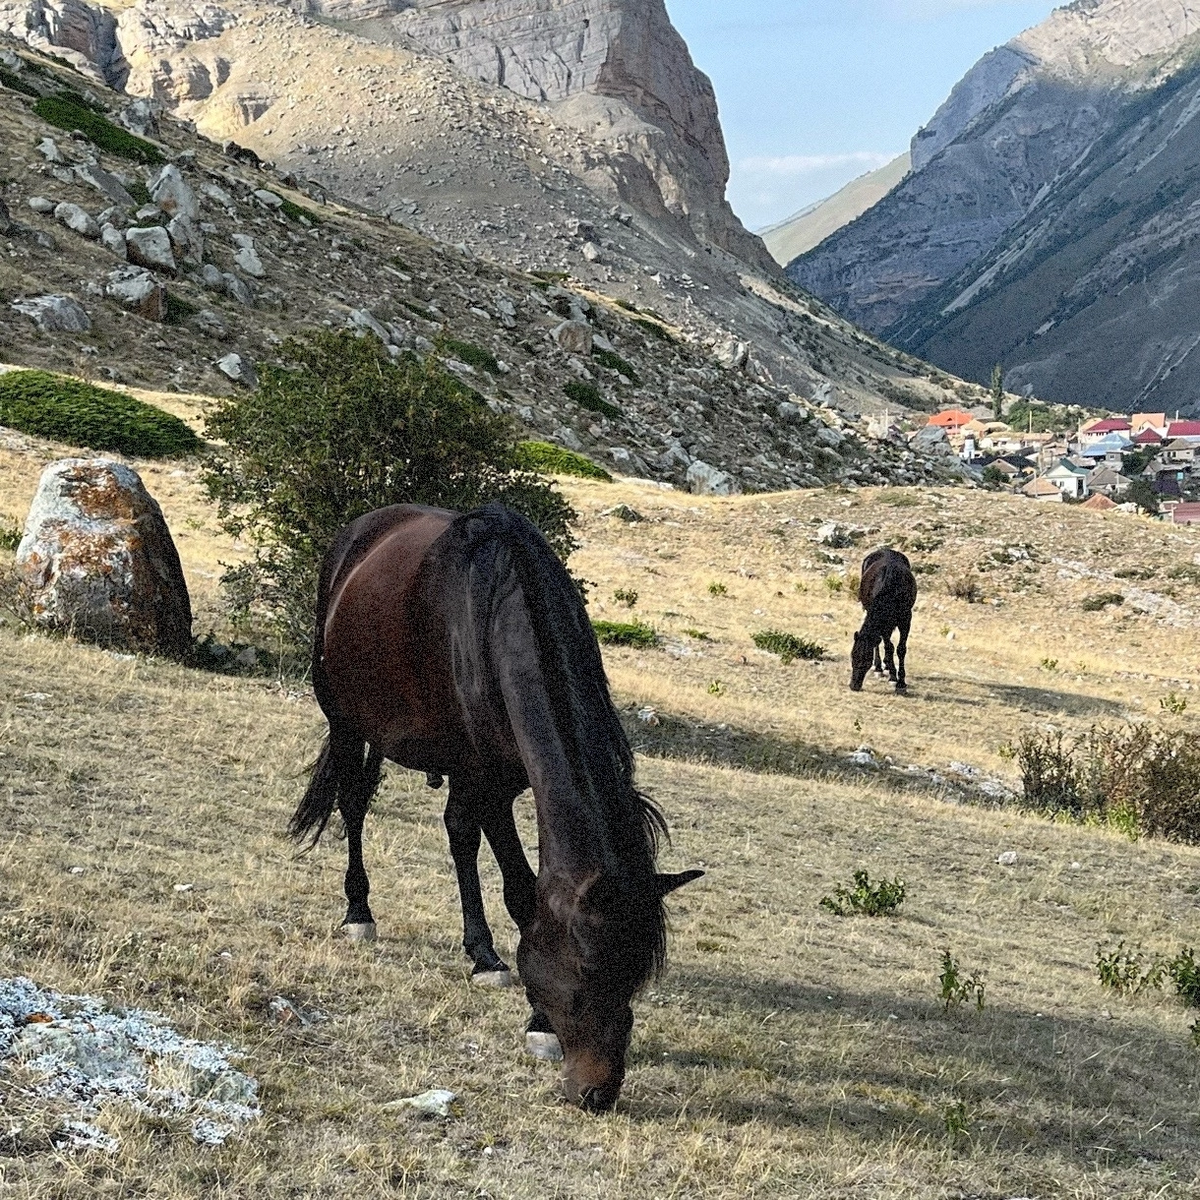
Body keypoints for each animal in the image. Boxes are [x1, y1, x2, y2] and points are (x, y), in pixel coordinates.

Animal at [292, 501, 700, 1108]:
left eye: (636, 975)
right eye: (585, 966)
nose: (597, 1093)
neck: (496, 619)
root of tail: (359, 532)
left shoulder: (501, 779)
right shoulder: (488, 780)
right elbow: (521, 891)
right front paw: (539, 1020)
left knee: (446, 827)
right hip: (346, 720)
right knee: (355, 804)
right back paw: (361, 912)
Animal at [849, 547, 912, 696]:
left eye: (865, 660)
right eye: (852, 656)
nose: (854, 685)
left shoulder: (905, 619)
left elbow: (901, 649)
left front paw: (901, 682)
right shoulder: (883, 622)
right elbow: (888, 646)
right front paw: (893, 676)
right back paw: (880, 667)